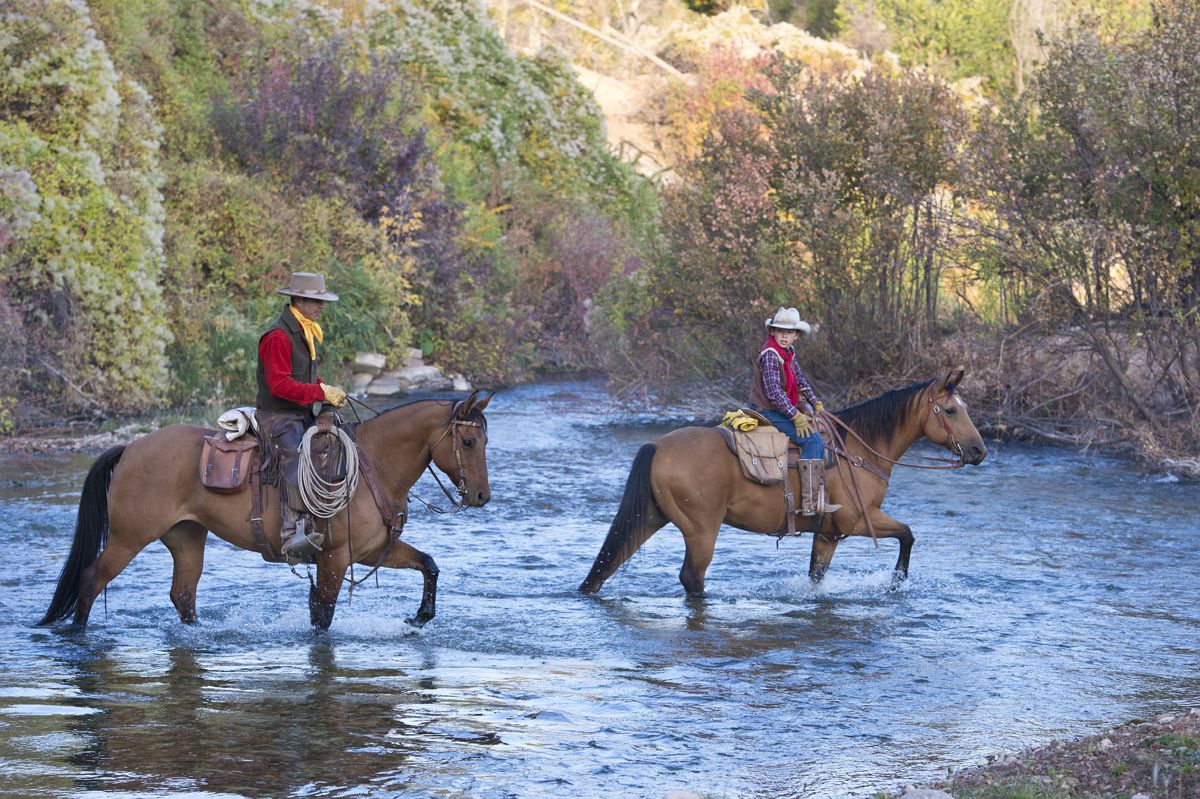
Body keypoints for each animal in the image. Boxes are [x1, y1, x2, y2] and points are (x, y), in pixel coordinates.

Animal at [38, 391, 492, 628]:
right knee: (91, 580)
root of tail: (129, 448)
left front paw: (421, 616)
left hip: (186, 536)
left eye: (485, 441)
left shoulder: (373, 551)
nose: (481, 496)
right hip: (129, 537)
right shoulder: (334, 559)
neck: (373, 468)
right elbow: (322, 615)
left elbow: (428, 564)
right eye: (468, 442)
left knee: (182, 594)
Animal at [578, 367, 984, 590]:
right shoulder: (857, 521)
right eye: (950, 410)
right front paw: (897, 581)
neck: (859, 449)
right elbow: (908, 534)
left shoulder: (828, 534)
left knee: (606, 565)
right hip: (700, 529)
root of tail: (658, 445)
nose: (979, 450)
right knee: (692, 578)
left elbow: (816, 576)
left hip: (649, 516)